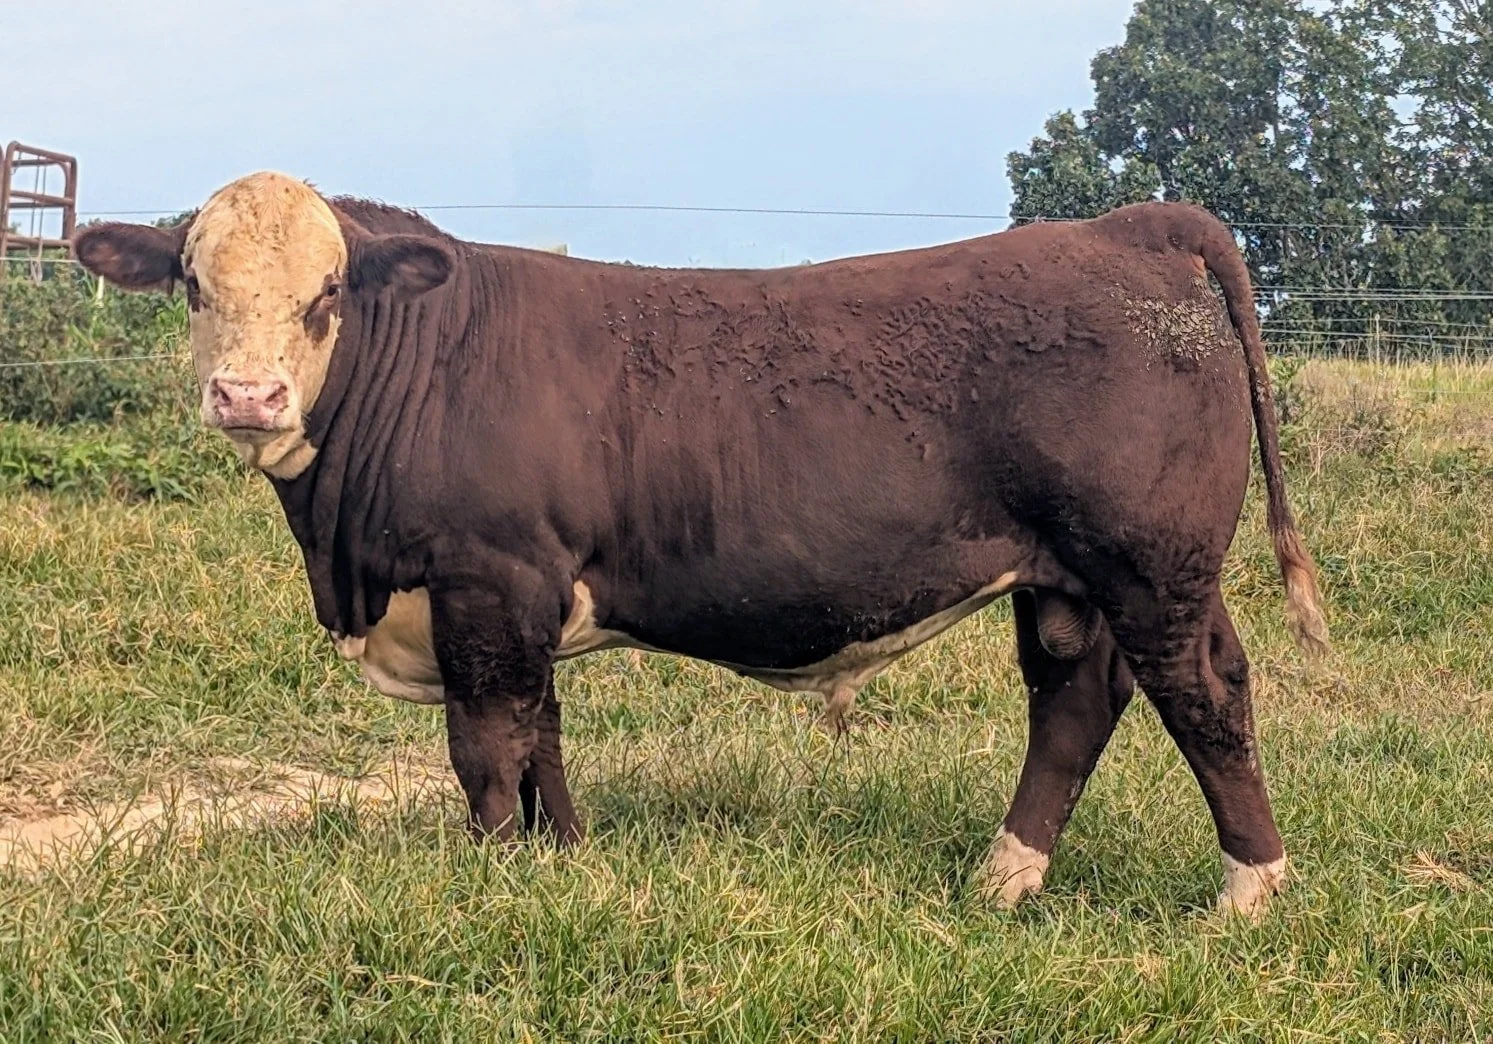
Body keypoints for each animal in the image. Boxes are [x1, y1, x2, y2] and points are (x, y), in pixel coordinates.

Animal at [74, 171, 1329, 919]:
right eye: (191, 282)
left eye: (329, 290)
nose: (247, 395)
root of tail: (1134, 227)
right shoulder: (529, 593)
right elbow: (542, 739)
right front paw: (565, 862)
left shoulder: (487, 580)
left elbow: (486, 748)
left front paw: (494, 884)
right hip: (1077, 576)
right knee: (1077, 698)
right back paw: (1002, 879)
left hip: (1150, 565)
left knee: (1203, 692)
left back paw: (1245, 892)